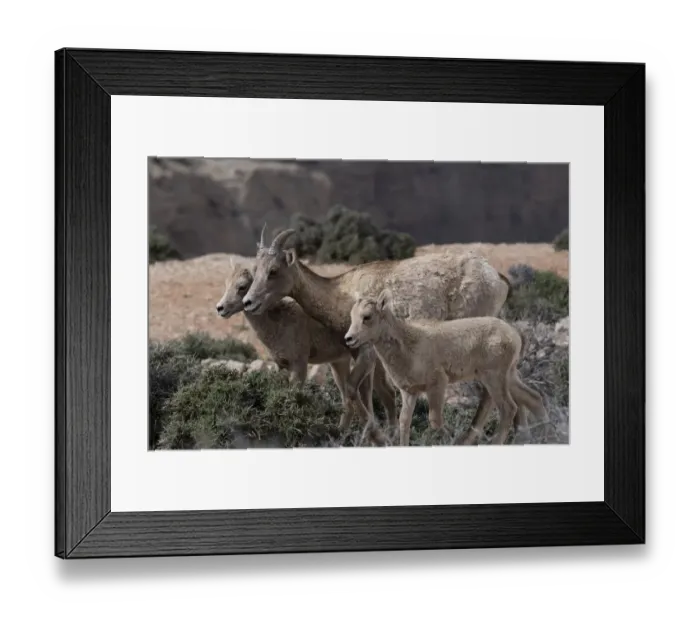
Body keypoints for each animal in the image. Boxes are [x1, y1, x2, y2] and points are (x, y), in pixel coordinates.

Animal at [215, 261, 398, 435]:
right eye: (227, 283)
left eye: (242, 286)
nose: (220, 308)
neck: (279, 323)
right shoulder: (282, 366)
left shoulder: (299, 365)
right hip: (340, 365)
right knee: (354, 399)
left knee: (382, 396)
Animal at [242, 227, 511, 431]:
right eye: (255, 271)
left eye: (273, 270)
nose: (248, 302)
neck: (342, 293)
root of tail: (497, 279)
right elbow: (382, 394)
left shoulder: (367, 352)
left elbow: (354, 389)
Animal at [343, 288, 550, 447]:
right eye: (352, 316)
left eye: (367, 317)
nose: (349, 339)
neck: (409, 346)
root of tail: (515, 335)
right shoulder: (409, 392)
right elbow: (404, 422)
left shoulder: (437, 385)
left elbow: (435, 421)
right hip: (509, 376)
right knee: (533, 399)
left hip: (494, 378)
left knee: (508, 408)